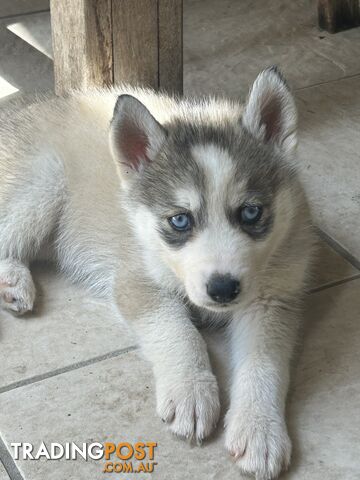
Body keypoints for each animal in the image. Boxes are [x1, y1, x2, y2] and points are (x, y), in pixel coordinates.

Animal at [0, 68, 316, 480]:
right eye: (180, 220)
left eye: (251, 212)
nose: (223, 289)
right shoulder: (136, 280)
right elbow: (177, 331)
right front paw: (192, 390)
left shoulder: (272, 298)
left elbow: (264, 363)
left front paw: (259, 429)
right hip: (43, 184)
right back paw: (13, 280)